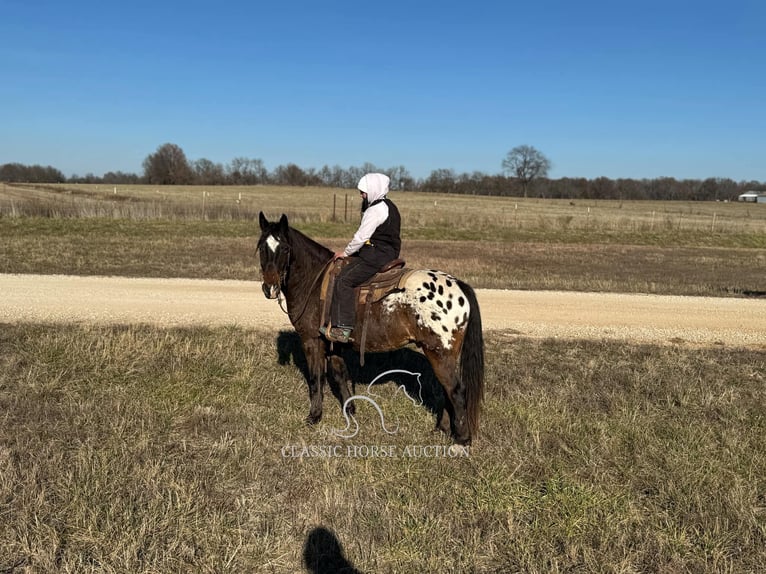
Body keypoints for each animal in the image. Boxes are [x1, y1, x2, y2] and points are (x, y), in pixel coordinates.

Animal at [258, 212, 486, 446]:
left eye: (285, 249)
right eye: (261, 248)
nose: (270, 288)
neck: (314, 280)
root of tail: (459, 285)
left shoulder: (311, 340)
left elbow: (315, 378)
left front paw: (314, 416)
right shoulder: (333, 342)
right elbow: (339, 374)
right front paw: (349, 410)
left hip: (439, 353)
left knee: (456, 390)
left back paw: (462, 440)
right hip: (444, 355)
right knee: (447, 389)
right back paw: (442, 429)